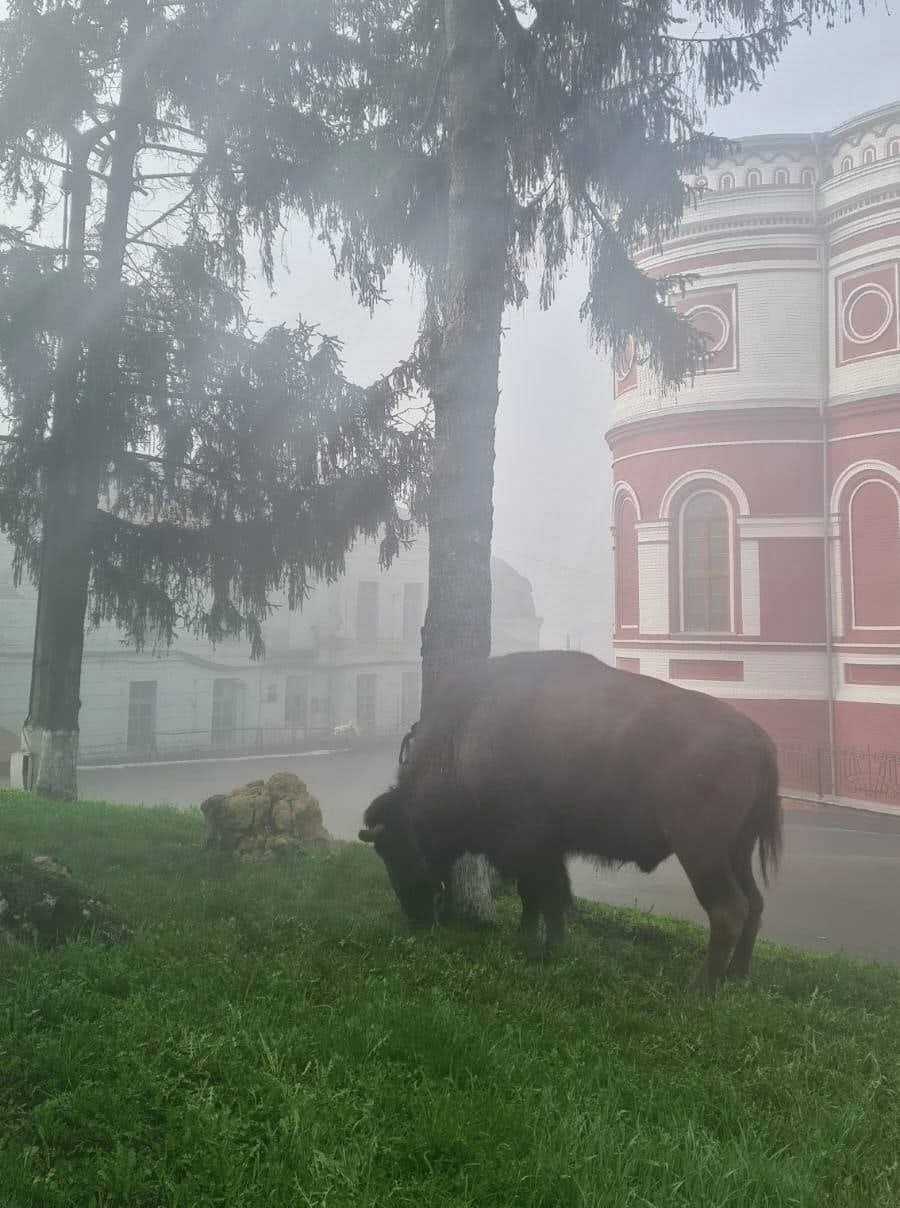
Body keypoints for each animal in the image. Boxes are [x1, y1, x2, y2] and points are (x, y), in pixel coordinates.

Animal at [357, 652, 777, 990]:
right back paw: (737, 976)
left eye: (395, 850)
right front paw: (534, 940)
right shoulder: (542, 852)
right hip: (737, 850)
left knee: (728, 911)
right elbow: (542, 899)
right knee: (754, 904)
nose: (417, 916)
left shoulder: (530, 849)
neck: (466, 739)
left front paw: (543, 946)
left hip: (702, 853)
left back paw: (698, 989)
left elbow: (546, 897)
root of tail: (761, 741)